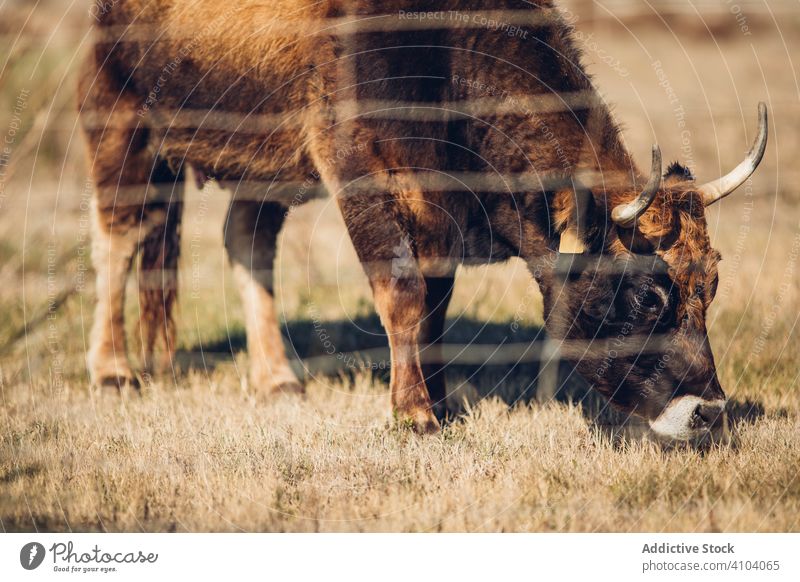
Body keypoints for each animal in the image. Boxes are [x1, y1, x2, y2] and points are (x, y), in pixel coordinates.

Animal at [78, 0, 764, 438]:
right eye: (648, 295)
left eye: (712, 287)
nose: (709, 411)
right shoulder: (359, 173)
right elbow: (404, 294)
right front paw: (413, 416)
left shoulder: (441, 215)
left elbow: (435, 303)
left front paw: (438, 401)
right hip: (120, 113)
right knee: (119, 237)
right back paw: (112, 371)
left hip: (262, 162)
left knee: (246, 240)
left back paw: (276, 377)